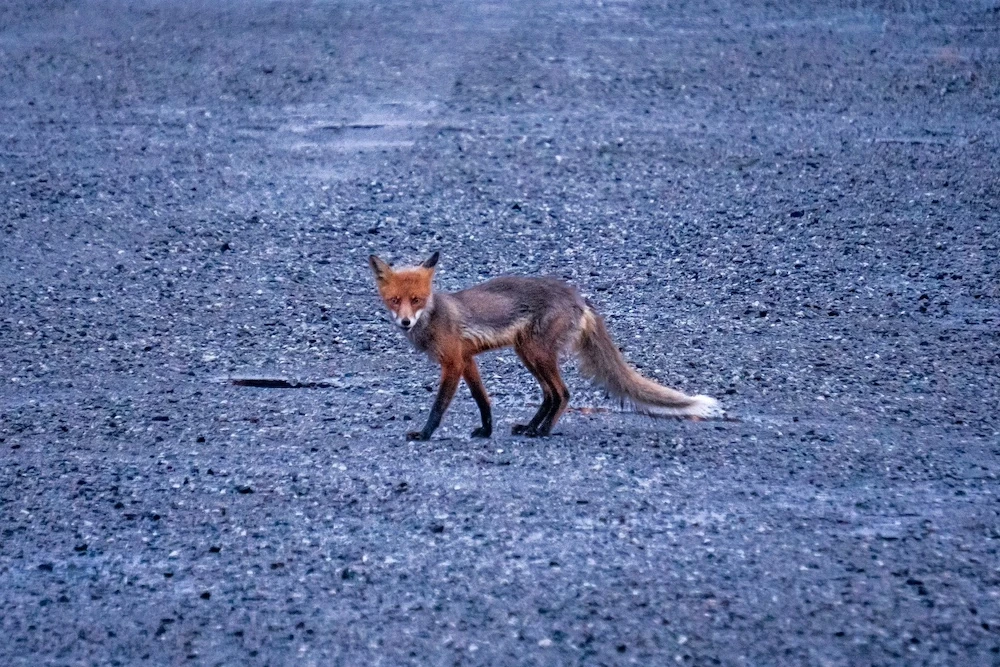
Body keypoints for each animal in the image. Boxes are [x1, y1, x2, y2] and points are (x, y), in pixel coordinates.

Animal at [368, 253, 720, 440]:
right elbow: (484, 401)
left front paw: (425, 434)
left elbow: (439, 406)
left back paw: (543, 431)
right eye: (395, 300)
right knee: (551, 395)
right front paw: (486, 430)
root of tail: (578, 297)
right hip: (528, 353)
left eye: (417, 300)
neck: (436, 315)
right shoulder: (468, 360)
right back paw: (530, 427)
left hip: (536, 353)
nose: (405, 322)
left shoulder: (453, 362)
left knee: (562, 394)